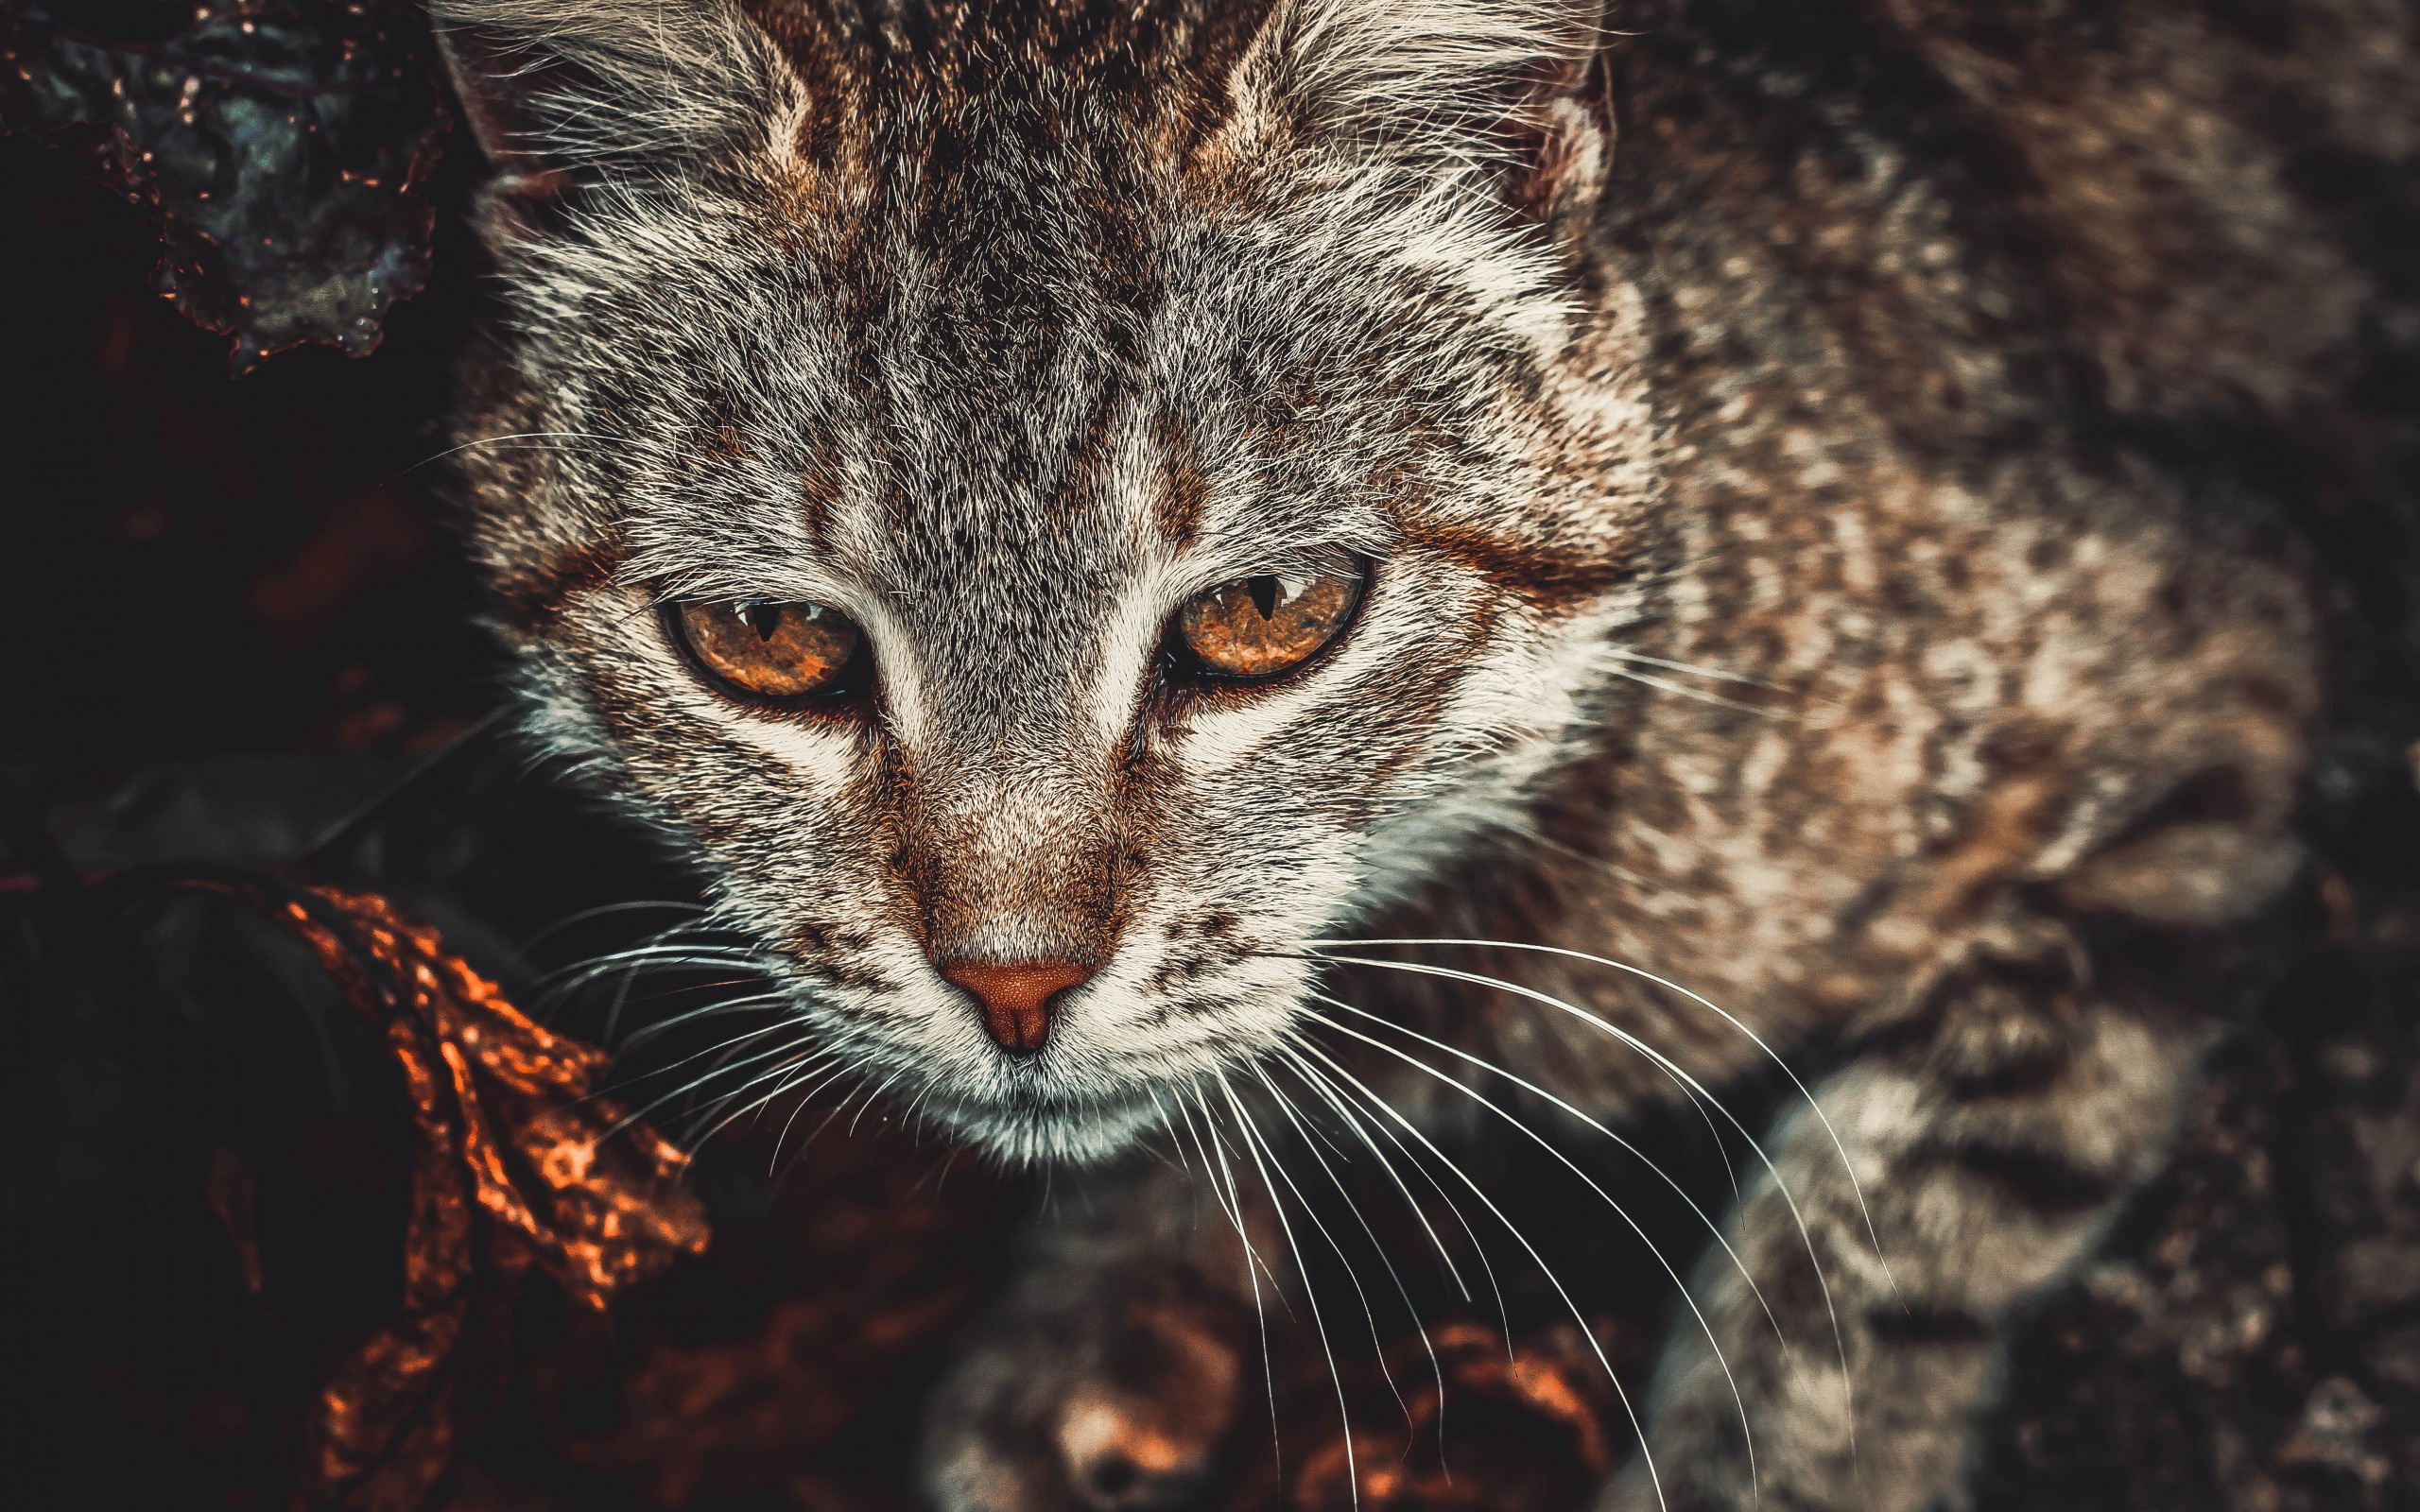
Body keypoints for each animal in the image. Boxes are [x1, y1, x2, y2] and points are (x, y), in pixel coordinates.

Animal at [435, 3, 2420, 1509]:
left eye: (1272, 612)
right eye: (766, 640)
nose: (1012, 985)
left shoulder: (2200, 654)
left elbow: (1884, 1230)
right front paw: (1100, 1334)